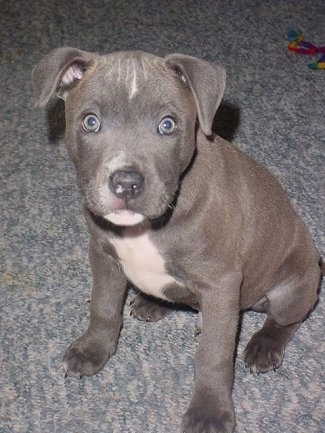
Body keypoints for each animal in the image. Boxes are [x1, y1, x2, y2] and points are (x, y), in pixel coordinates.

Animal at [31, 49, 320, 430]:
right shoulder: (104, 255)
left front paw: (209, 412)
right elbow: (103, 308)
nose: (126, 183)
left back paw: (264, 346)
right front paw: (93, 349)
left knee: (287, 318)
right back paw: (153, 303)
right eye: (90, 122)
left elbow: (213, 356)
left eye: (167, 125)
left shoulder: (220, 283)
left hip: (295, 283)